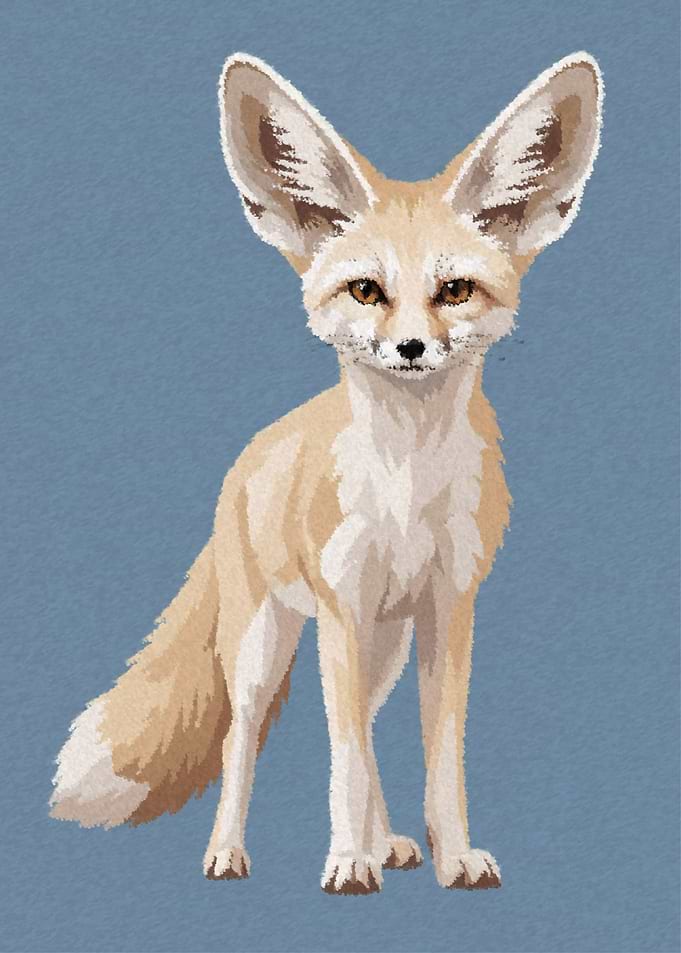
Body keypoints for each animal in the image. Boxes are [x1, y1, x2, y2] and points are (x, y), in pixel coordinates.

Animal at [50, 51, 603, 894]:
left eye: (454, 290)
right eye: (366, 290)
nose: (410, 348)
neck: (406, 485)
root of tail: (252, 450)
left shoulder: (449, 607)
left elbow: (438, 757)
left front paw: (449, 854)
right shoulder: (343, 608)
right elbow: (341, 756)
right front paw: (345, 860)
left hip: (384, 642)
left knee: (366, 726)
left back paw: (386, 842)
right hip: (266, 647)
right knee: (248, 737)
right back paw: (230, 851)